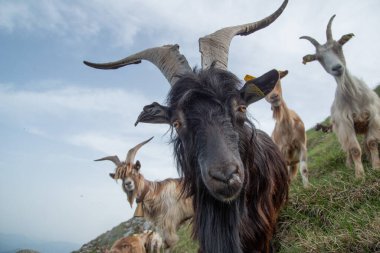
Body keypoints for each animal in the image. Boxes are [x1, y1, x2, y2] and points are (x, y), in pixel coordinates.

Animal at [300, 14, 380, 178]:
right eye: (318, 58)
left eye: (339, 46)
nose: (337, 68)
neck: (354, 95)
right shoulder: (345, 123)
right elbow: (354, 149)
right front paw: (359, 175)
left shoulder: (373, 117)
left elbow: (372, 142)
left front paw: (376, 167)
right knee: (348, 148)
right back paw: (349, 165)